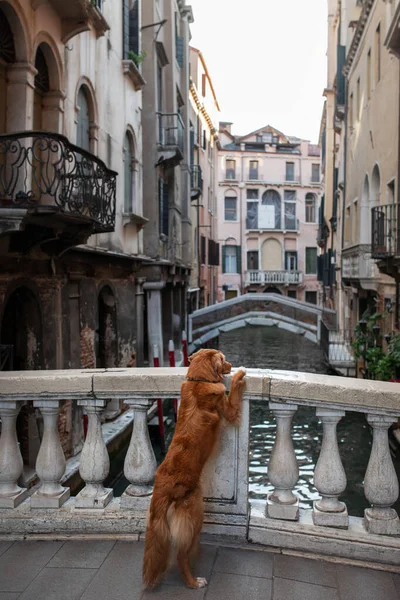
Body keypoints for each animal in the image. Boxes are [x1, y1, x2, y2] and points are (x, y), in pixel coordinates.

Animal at [142, 350, 245, 588]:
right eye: (223, 359)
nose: (231, 364)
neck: (199, 380)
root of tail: (162, 490)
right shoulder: (228, 409)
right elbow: (234, 392)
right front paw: (240, 375)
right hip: (195, 513)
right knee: (181, 554)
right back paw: (193, 581)